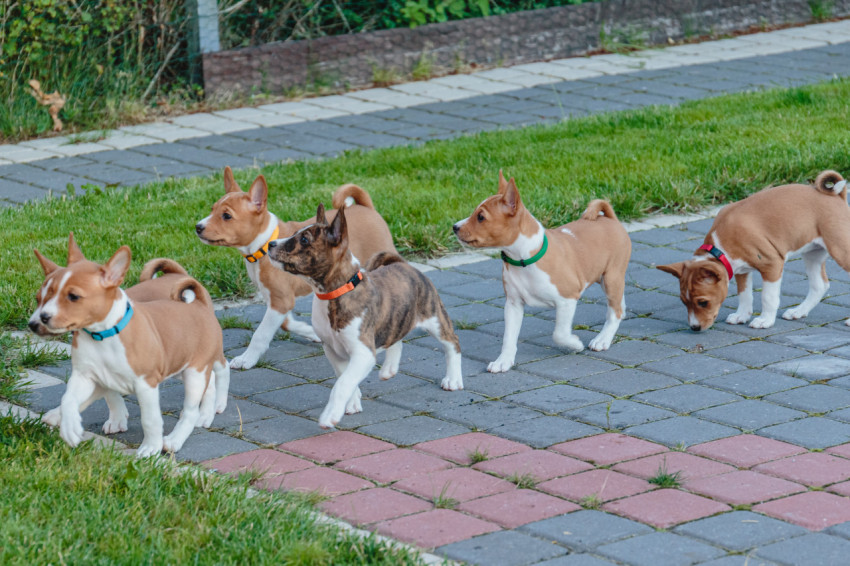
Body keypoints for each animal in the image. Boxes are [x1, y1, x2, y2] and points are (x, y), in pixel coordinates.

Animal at [29, 233, 229, 460]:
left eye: (73, 296)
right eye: (38, 299)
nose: (37, 321)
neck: (102, 336)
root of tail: (199, 304)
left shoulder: (146, 384)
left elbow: (150, 419)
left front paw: (150, 447)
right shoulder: (87, 376)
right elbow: (70, 399)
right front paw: (70, 426)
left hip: (195, 372)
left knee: (198, 400)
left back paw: (181, 433)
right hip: (179, 363)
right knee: (209, 381)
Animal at [197, 168, 396, 372]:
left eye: (226, 216)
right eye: (212, 210)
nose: (198, 227)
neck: (264, 245)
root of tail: (367, 207)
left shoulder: (281, 300)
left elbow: (261, 333)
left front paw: (247, 359)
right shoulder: (276, 299)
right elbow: (287, 324)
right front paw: (312, 332)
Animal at [266, 205, 460, 430]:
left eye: (304, 240)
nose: (270, 244)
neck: (335, 293)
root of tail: (403, 264)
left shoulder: (363, 353)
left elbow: (342, 384)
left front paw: (330, 415)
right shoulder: (332, 349)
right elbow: (344, 377)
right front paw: (351, 402)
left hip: (435, 317)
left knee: (452, 343)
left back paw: (453, 379)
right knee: (396, 339)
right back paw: (389, 369)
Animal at [450, 170, 628, 372]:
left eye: (481, 217)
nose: (454, 227)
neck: (523, 260)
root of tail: (609, 218)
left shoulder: (567, 299)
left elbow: (559, 334)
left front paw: (574, 344)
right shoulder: (513, 304)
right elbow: (508, 338)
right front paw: (503, 361)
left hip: (611, 278)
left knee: (615, 312)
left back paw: (602, 339)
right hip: (608, 280)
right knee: (620, 306)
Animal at [656, 171, 848, 330]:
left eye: (703, 302)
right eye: (683, 302)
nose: (694, 328)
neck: (719, 247)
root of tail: (837, 195)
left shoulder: (772, 264)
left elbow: (768, 297)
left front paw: (765, 320)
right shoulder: (740, 269)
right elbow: (745, 295)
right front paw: (742, 315)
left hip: (840, 250)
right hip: (812, 253)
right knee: (820, 285)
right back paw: (798, 312)